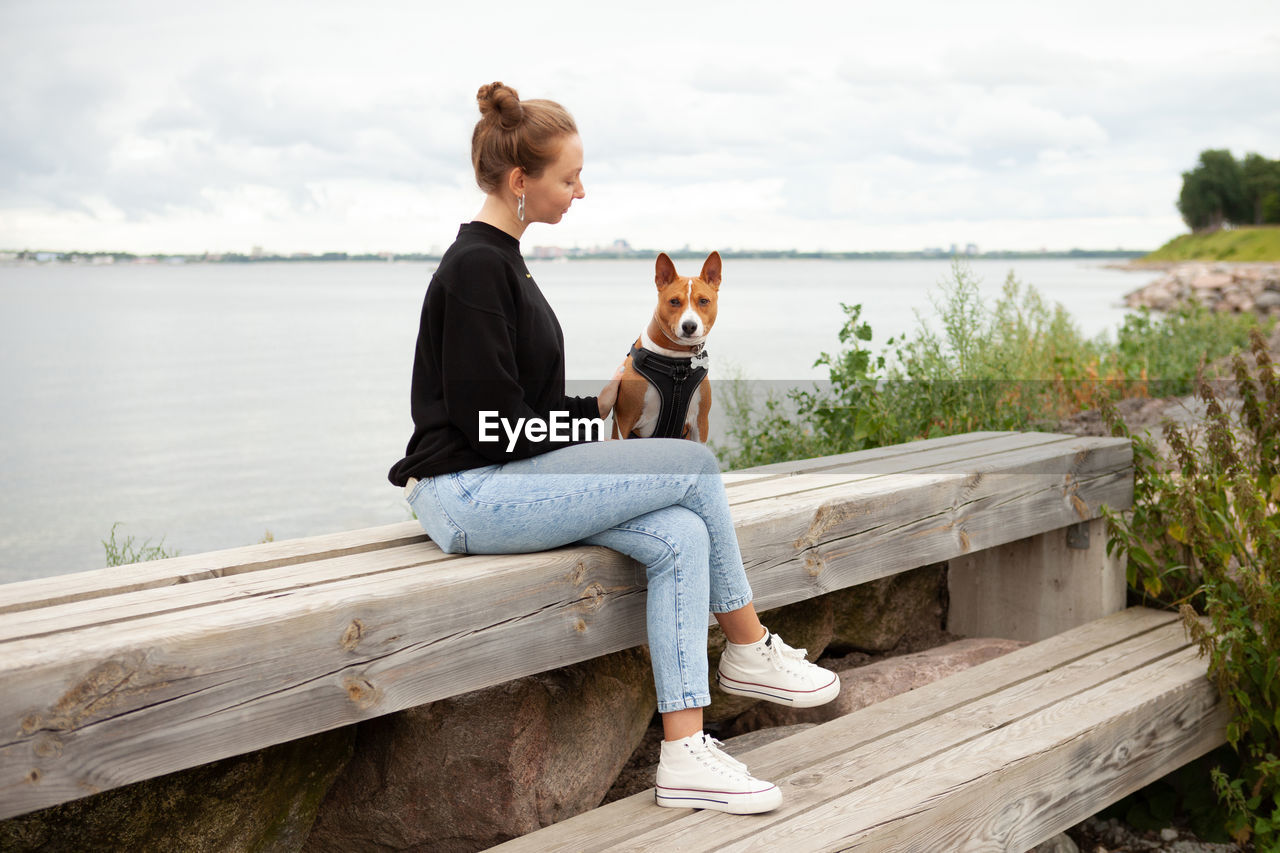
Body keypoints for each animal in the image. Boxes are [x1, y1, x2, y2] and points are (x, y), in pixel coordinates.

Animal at [609, 251, 721, 438]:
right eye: (674, 301)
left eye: (704, 301)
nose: (689, 326)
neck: (676, 360)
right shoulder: (624, 421)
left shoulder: (700, 423)